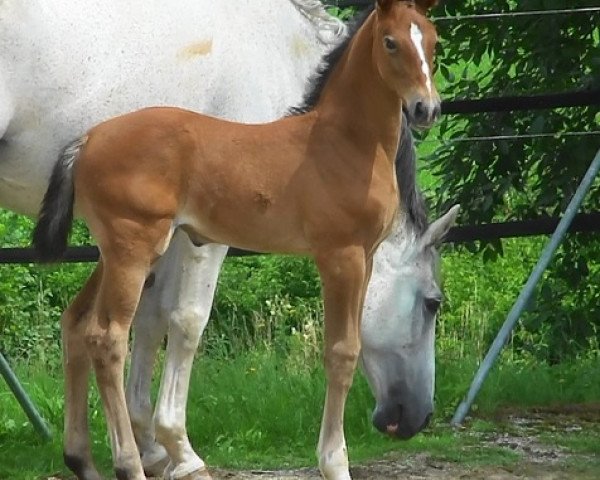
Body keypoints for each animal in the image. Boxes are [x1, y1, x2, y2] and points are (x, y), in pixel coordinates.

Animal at [1, 1, 460, 478]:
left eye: (432, 40)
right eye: (391, 43)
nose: (426, 108)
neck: (340, 142)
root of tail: (88, 138)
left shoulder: (364, 257)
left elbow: (156, 321)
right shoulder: (337, 256)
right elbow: (339, 352)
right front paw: (333, 462)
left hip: (121, 252)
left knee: (80, 323)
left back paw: (88, 460)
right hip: (134, 250)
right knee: (106, 338)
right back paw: (128, 464)